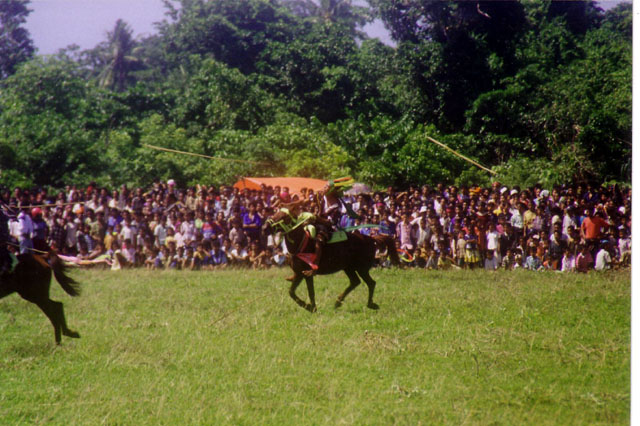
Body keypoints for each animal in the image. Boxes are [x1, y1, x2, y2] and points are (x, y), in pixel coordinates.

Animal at [264, 210, 396, 312]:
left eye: (283, 217)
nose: (265, 228)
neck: (300, 243)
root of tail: (371, 239)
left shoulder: (306, 274)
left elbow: (310, 292)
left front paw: (311, 307)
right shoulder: (299, 273)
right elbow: (291, 292)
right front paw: (309, 306)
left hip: (361, 268)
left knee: (370, 283)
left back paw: (370, 304)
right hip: (348, 268)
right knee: (355, 282)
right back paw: (338, 302)